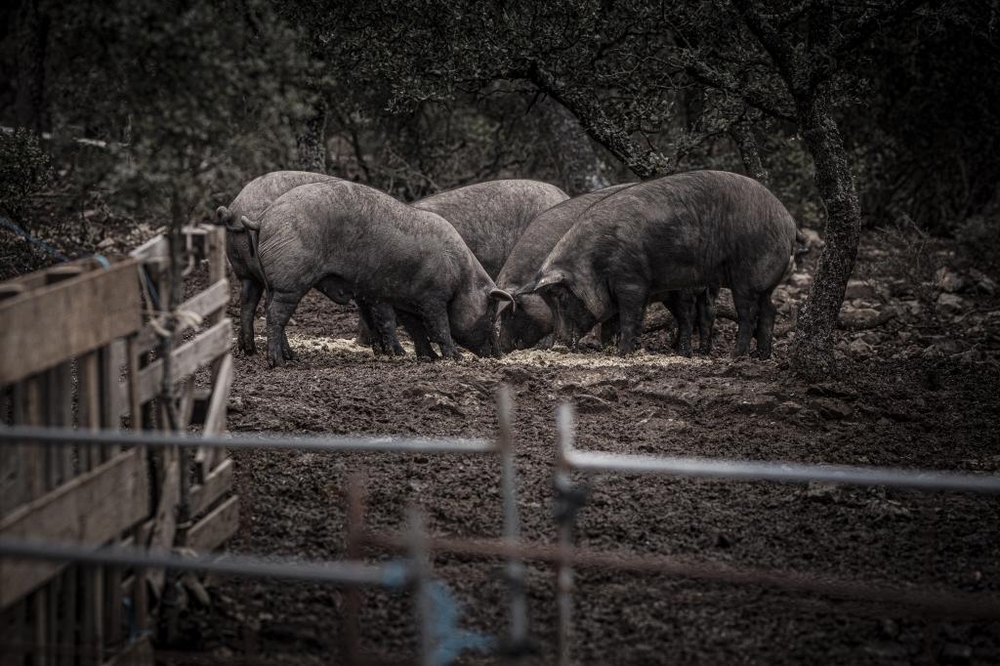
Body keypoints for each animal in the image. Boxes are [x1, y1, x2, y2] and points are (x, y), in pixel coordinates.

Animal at [211, 171, 340, 358]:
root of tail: (233, 210)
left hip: (244, 267)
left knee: (248, 299)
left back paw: (248, 350)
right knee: (269, 305)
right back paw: (289, 355)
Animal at [240, 182, 516, 366]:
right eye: (491, 313)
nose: (499, 354)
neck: (461, 275)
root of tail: (264, 217)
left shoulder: (407, 299)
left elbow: (417, 330)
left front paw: (428, 358)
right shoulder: (432, 296)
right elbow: (440, 328)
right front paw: (455, 358)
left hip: (273, 280)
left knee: (265, 309)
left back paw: (285, 356)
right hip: (290, 280)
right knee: (275, 316)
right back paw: (278, 363)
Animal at [500, 183, 720, 352]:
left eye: (512, 312)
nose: (502, 347)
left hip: (683, 285)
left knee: (688, 314)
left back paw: (683, 351)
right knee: (706, 313)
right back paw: (702, 350)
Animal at [524, 171, 796, 358]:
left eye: (561, 298)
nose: (558, 346)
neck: (594, 261)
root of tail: (788, 222)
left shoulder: (631, 281)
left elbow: (630, 317)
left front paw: (623, 352)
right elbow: (616, 322)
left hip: (748, 275)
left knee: (748, 313)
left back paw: (735, 355)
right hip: (761, 282)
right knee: (769, 309)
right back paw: (761, 355)